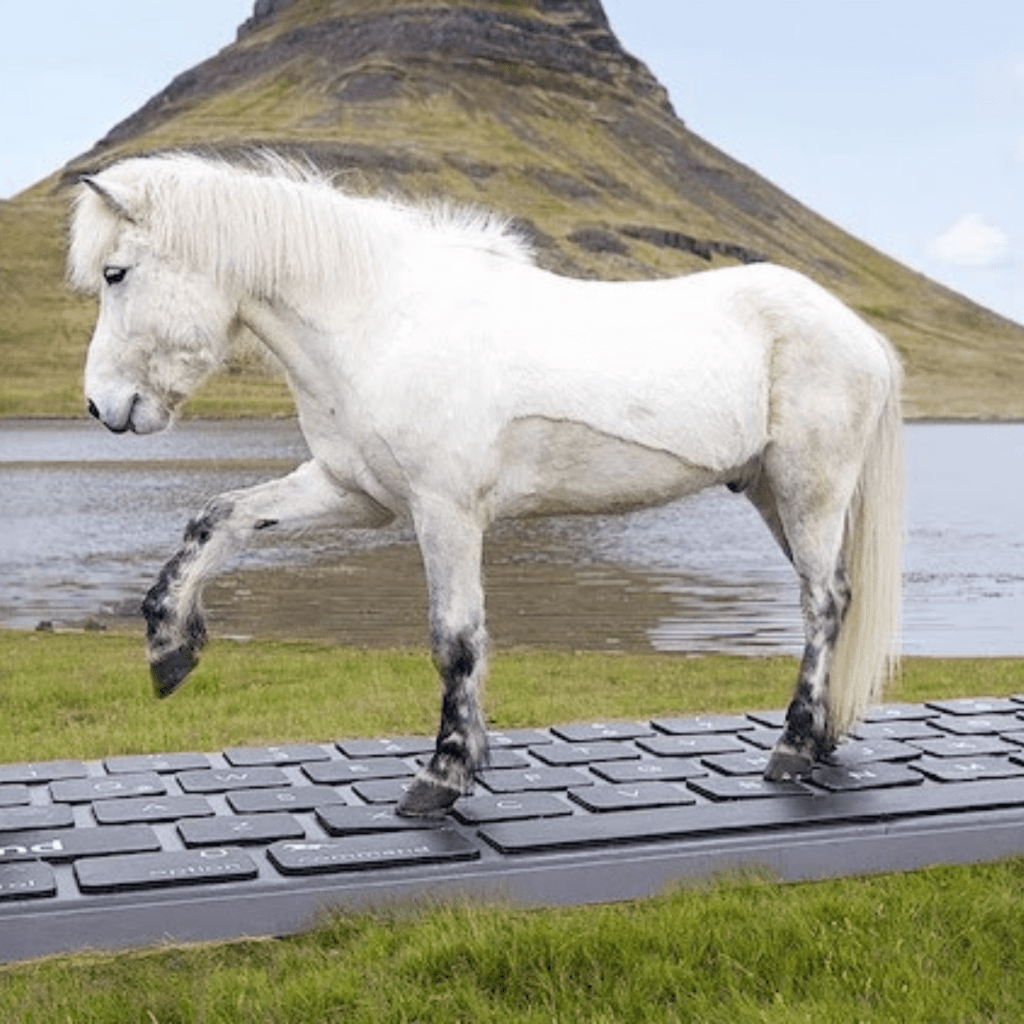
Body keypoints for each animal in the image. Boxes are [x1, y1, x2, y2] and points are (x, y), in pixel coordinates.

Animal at [69, 151, 904, 817]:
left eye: (116, 273)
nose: (101, 406)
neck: (381, 322)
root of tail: (860, 333)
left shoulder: (445, 512)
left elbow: (455, 638)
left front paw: (443, 773)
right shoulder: (354, 494)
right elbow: (218, 518)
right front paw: (169, 647)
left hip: (809, 490)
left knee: (823, 603)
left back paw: (793, 746)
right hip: (770, 494)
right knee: (834, 595)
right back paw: (821, 737)